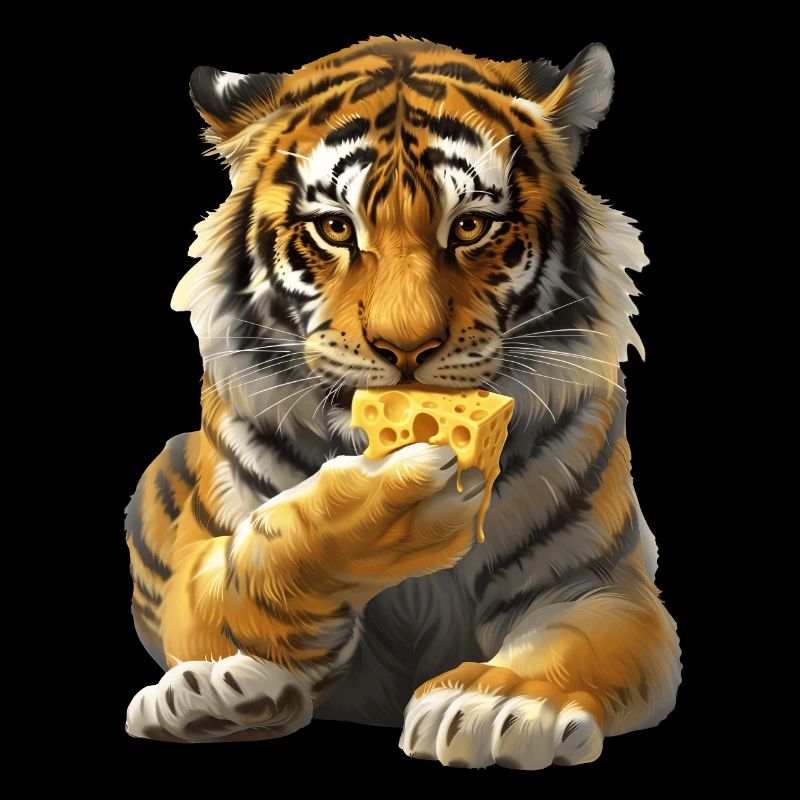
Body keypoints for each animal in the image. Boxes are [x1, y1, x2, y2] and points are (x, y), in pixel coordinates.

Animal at [125, 35, 681, 767]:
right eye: (336, 229)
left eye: (469, 227)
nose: (406, 346)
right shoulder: (200, 559)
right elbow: (246, 569)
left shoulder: (602, 587)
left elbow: (573, 645)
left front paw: (498, 702)